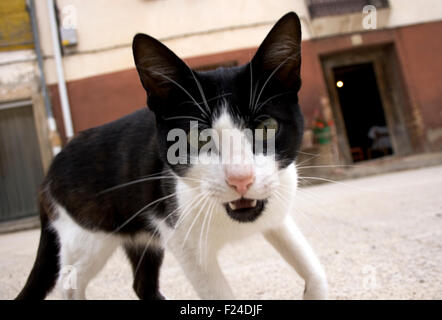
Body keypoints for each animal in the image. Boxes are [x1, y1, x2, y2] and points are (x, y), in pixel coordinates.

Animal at [16, 11, 328, 300]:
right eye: (197, 138)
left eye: (267, 127)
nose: (241, 178)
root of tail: (51, 167)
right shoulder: (183, 239)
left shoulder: (276, 209)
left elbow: (312, 266)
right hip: (86, 233)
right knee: (70, 281)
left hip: (140, 234)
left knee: (141, 282)